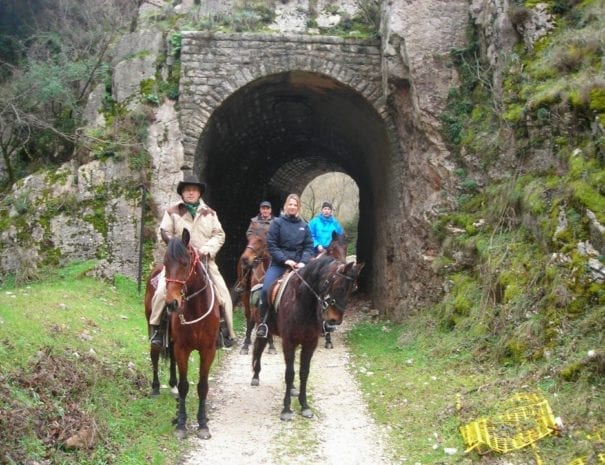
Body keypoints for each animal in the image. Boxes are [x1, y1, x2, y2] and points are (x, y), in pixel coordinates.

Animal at [143, 228, 221, 438]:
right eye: (167, 263)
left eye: (185, 263)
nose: (171, 303)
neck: (196, 310)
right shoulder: (182, 349)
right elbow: (186, 386)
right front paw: (181, 424)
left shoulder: (208, 350)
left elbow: (202, 387)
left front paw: (202, 424)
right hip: (153, 329)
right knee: (155, 355)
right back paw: (155, 388)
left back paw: (172, 385)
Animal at [251, 256, 364, 418]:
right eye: (339, 288)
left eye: (352, 289)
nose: (334, 320)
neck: (302, 303)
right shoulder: (288, 342)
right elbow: (289, 373)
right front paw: (286, 409)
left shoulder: (310, 343)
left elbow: (303, 373)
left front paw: (304, 406)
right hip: (264, 329)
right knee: (258, 349)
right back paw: (255, 377)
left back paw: (292, 389)